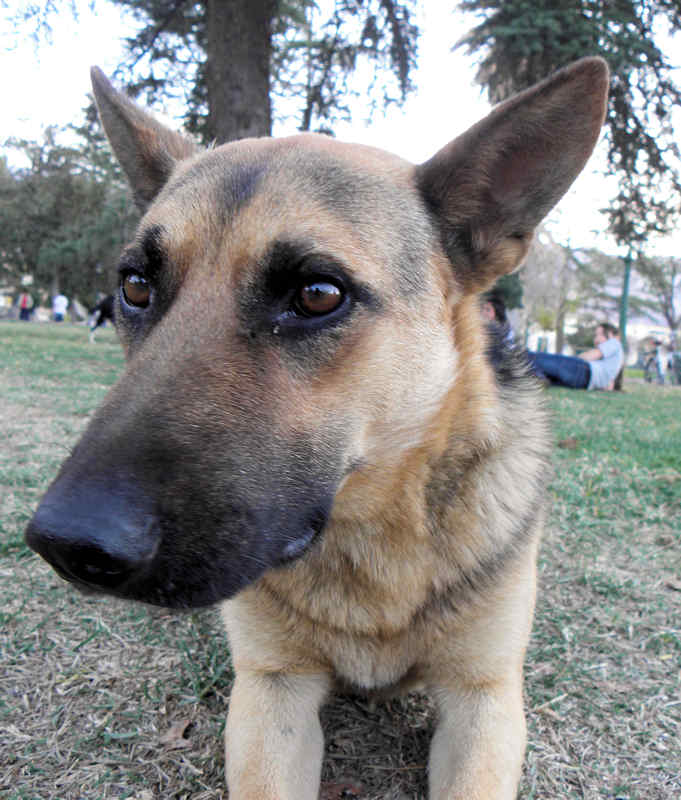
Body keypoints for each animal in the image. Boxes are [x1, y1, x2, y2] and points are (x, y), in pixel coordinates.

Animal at [27, 59, 604, 796]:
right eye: (134, 286)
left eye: (317, 294)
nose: (70, 543)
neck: (370, 536)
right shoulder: (272, 690)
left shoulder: (484, 697)